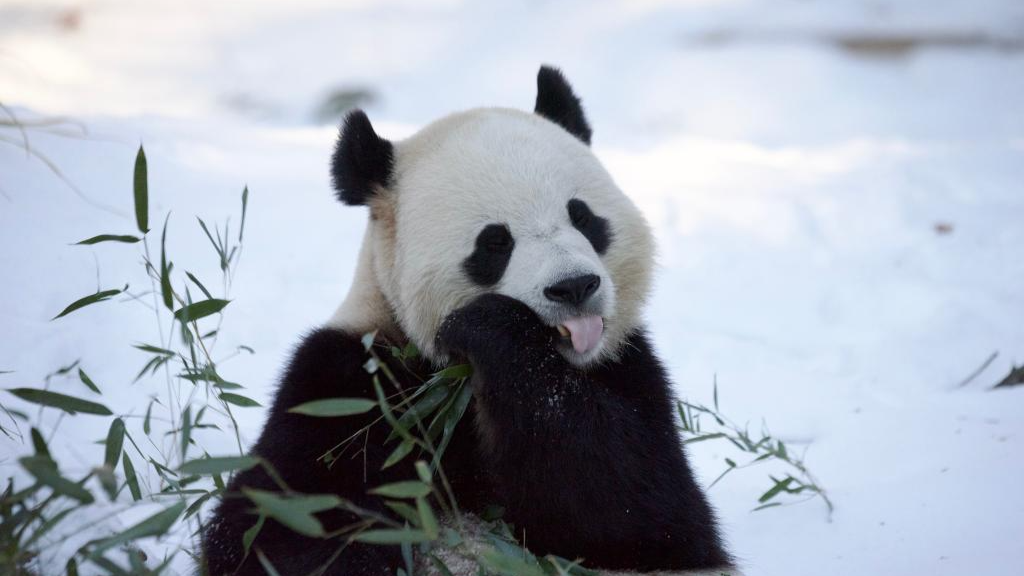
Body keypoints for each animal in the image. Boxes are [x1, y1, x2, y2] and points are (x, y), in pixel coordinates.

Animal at [201, 65, 737, 569]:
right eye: (495, 242)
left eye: (583, 216)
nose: (574, 287)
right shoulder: (346, 383)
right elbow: (282, 522)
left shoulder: (628, 367)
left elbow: (643, 511)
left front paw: (493, 329)